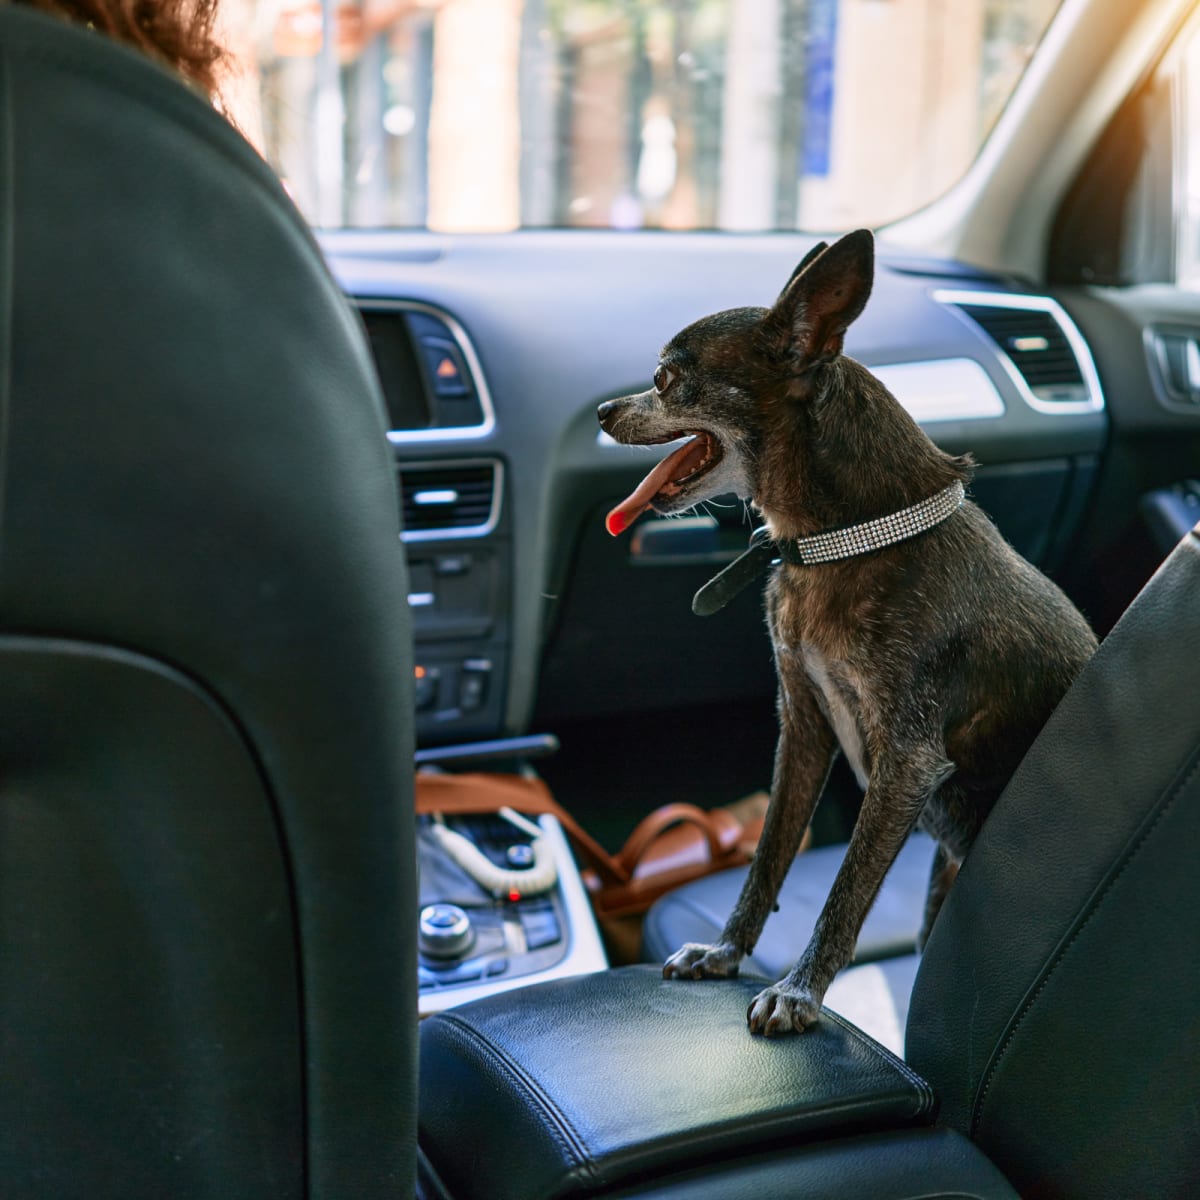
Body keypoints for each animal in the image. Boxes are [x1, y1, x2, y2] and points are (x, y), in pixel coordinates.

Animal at [597, 229, 1099, 1036]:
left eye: (665, 379)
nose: (605, 409)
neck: (842, 540)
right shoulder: (803, 728)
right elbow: (768, 857)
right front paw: (726, 954)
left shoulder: (906, 767)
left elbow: (847, 892)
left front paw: (799, 990)